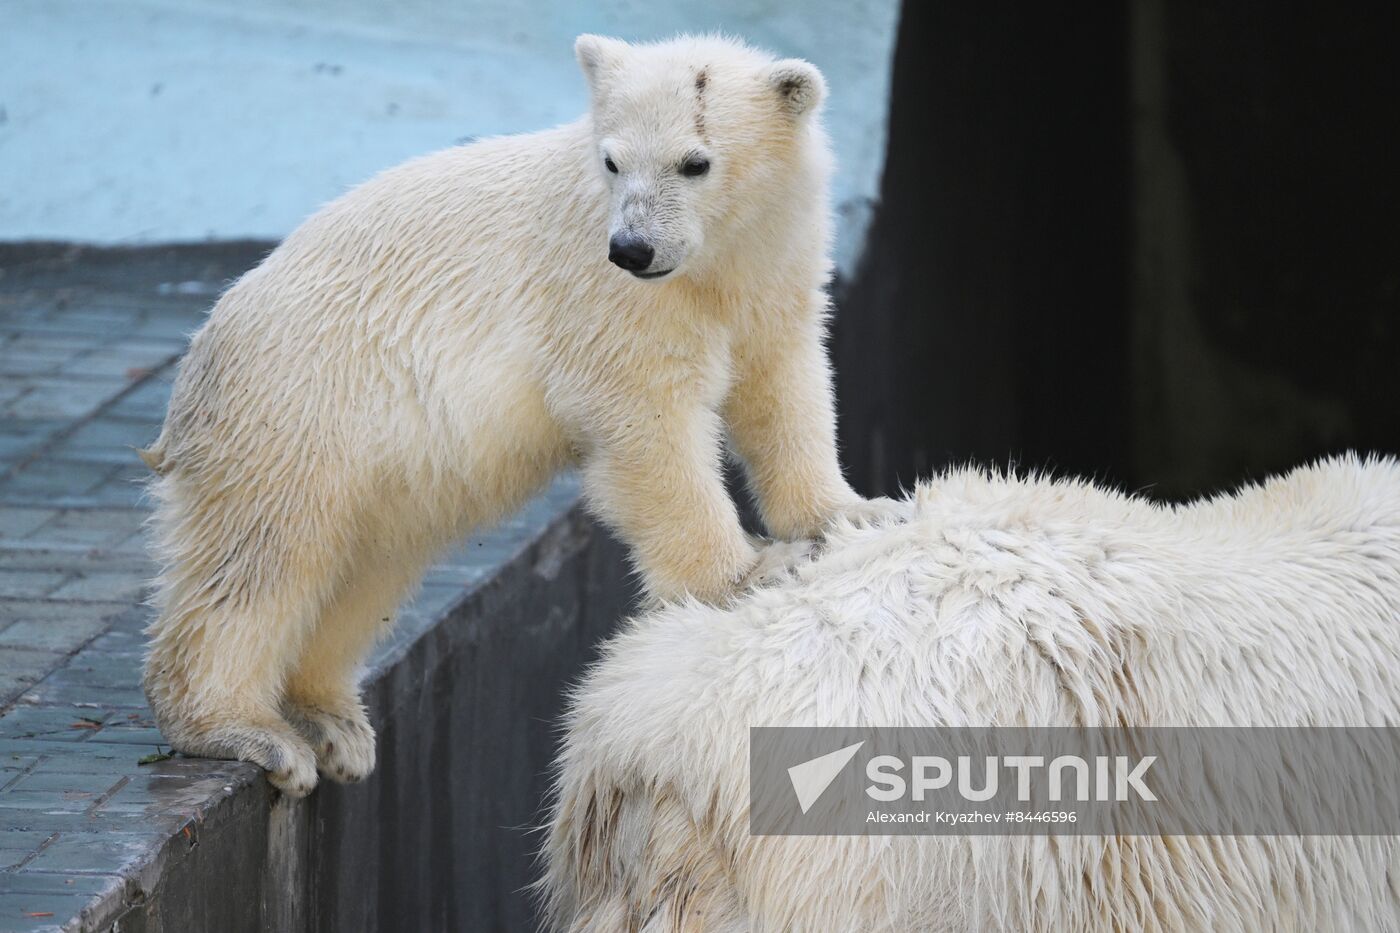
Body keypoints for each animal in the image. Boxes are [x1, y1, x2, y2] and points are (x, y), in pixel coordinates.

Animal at [142, 34, 890, 790]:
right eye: (613, 160)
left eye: (695, 161)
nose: (632, 249)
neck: (711, 258)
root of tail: (199, 355)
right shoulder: (604, 297)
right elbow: (650, 427)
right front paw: (747, 572)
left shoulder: (773, 267)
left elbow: (782, 385)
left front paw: (848, 513)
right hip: (299, 406)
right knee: (263, 557)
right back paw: (247, 730)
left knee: (359, 572)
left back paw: (331, 722)